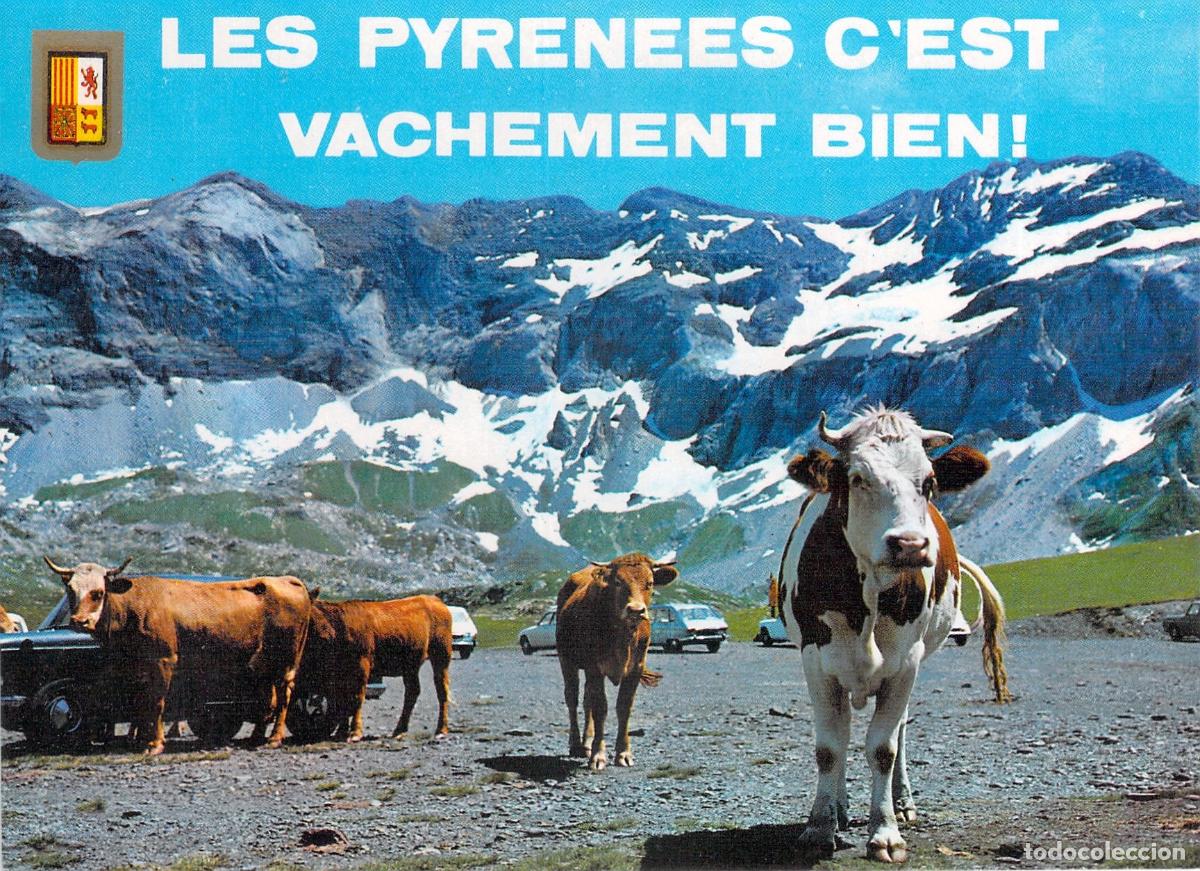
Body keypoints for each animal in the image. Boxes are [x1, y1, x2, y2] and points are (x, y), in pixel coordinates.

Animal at [43, 557, 313, 755]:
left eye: (98, 592)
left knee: (284, 696)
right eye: (70, 590)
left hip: (286, 659)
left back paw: (274, 739)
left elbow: (157, 702)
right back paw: (256, 738)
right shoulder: (136, 670)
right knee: (268, 699)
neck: (131, 609)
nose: (79, 621)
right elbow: (140, 703)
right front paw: (139, 739)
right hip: (264, 664)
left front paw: (155, 744)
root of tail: (288, 580)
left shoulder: (163, 661)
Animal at [297, 595, 453, 741]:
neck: (336, 627)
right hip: (411, 665)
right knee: (412, 692)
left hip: (441, 654)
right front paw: (341, 732)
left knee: (442, 691)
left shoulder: (361, 665)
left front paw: (355, 732)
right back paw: (399, 730)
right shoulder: (339, 672)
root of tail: (433, 599)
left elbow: (356, 697)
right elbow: (342, 699)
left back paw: (441, 730)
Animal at [555, 553, 679, 771]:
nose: (636, 610)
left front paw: (623, 753)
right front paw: (598, 756)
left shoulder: (635, 669)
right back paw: (576, 745)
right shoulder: (594, 668)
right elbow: (600, 708)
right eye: (618, 582)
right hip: (567, 660)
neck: (623, 636)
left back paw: (587, 743)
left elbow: (624, 707)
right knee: (572, 698)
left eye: (650, 582)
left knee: (586, 700)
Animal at [777, 408, 1010, 863]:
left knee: (898, 731)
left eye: (929, 481)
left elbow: (883, 749)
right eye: (857, 478)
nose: (909, 544)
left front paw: (885, 832)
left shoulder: (906, 663)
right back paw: (840, 808)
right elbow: (829, 748)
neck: (866, 594)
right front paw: (820, 825)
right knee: (844, 728)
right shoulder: (816, 660)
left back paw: (901, 804)